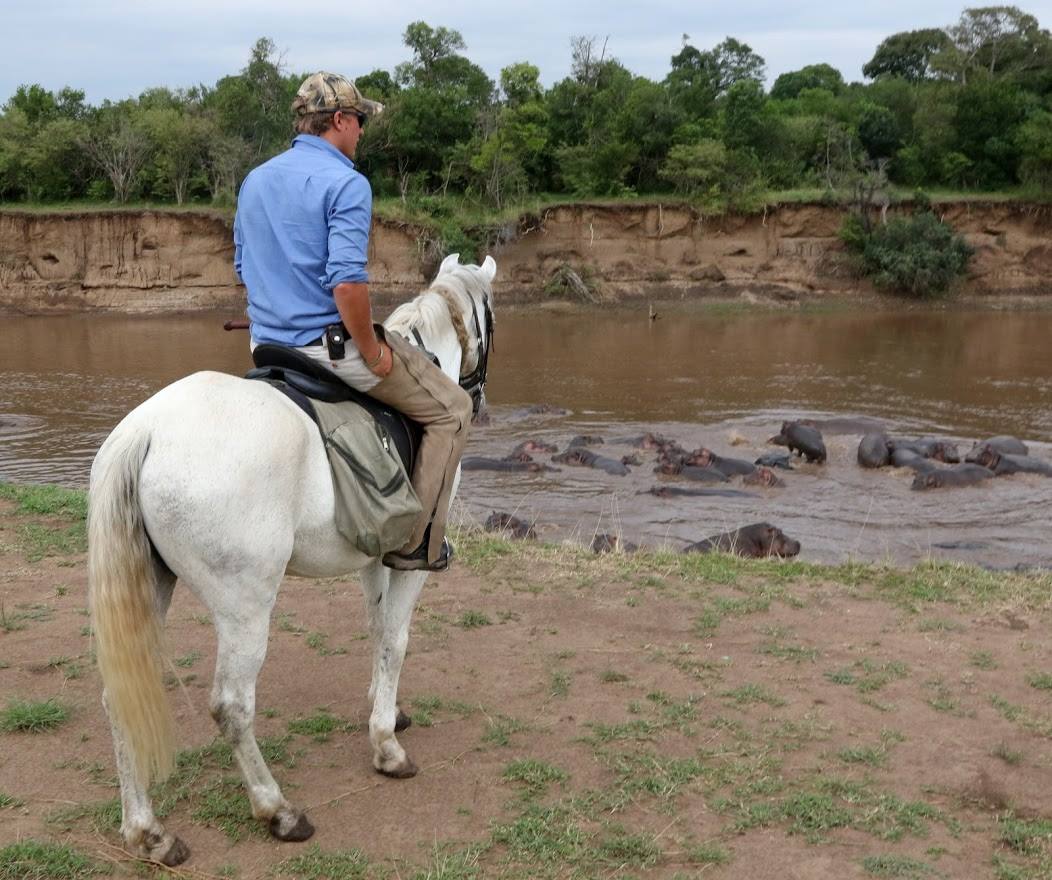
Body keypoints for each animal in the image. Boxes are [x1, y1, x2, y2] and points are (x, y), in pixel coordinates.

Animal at [88, 253, 496, 866]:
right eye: (491, 318)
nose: (480, 396)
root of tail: (147, 430)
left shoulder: (376, 559)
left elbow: (377, 630)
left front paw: (386, 708)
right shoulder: (411, 562)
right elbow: (396, 638)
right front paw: (386, 746)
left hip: (151, 587)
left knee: (121, 698)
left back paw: (148, 832)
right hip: (245, 607)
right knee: (232, 707)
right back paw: (276, 810)